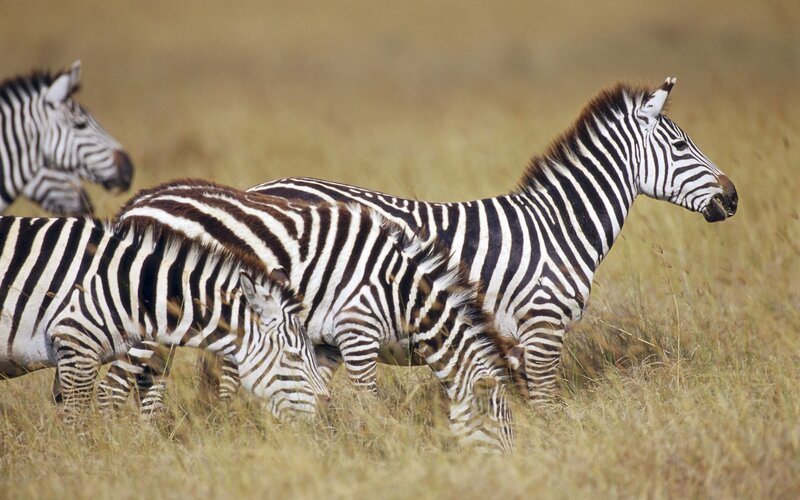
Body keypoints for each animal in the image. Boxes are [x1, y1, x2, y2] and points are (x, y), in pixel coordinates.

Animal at [97, 184, 518, 453]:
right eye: (502, 427)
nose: (511, 469)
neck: (402, 292)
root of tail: (137, 203)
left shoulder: (328, 343)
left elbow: (312, 391)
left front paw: (315, 440)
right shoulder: (357, 330)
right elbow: (368, 400)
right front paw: (376, 445)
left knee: (149, 385)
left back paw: (148, 441)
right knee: (111, 390)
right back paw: (114, 447)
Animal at [247, 77, 739, 404]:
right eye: (681, 147)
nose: (732, 198)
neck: (559, 226)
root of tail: (257, 188)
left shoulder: (515, 342)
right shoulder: (542, 325)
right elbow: (545, 404)